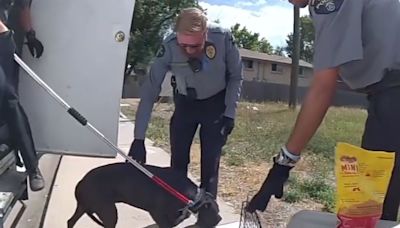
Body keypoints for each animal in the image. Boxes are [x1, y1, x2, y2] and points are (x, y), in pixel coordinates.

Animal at [67, 163, 220, 227]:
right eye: (215, 211)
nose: (220, 219)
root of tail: (81, 182)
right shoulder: (157, 213)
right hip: (108, 210)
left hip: (84, 206)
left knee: (71, 221)